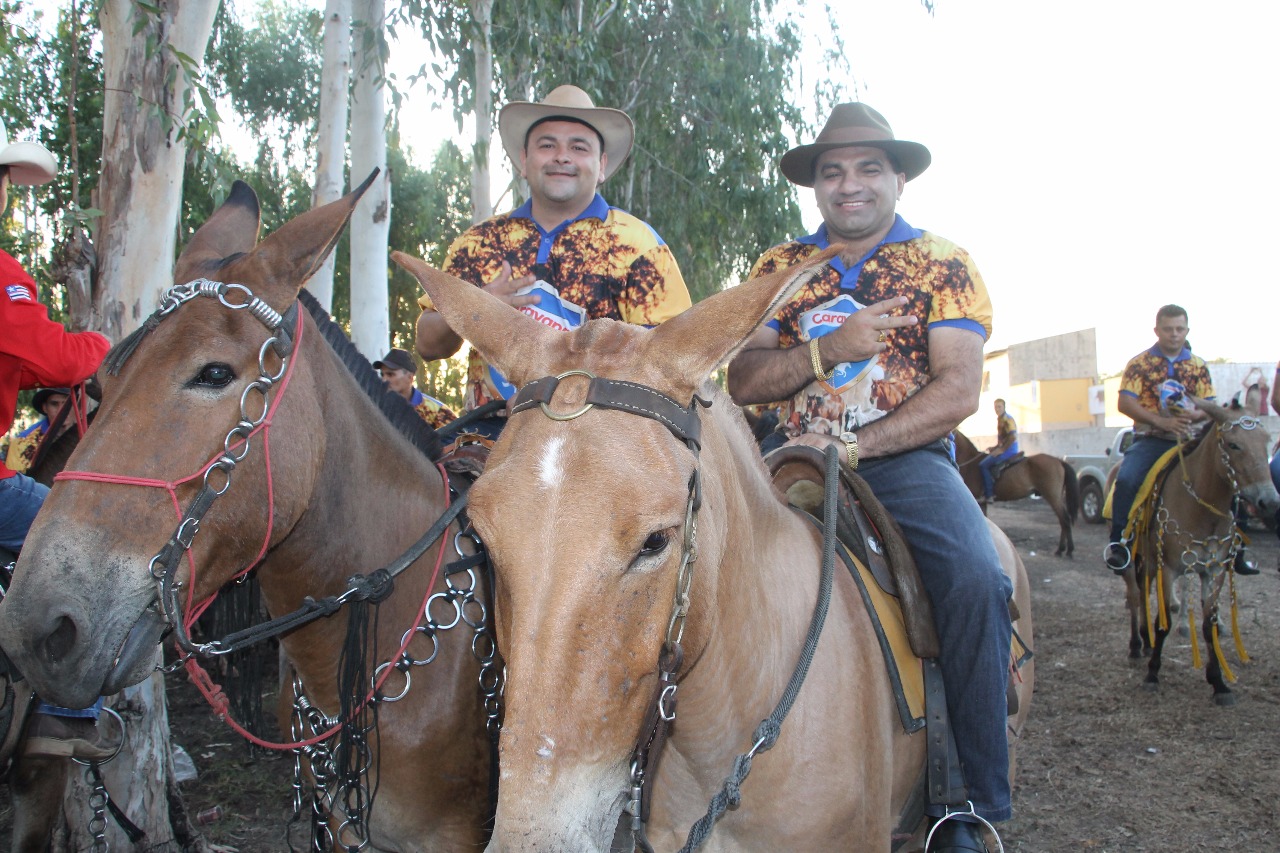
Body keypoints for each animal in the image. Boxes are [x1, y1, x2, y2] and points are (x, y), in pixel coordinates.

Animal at [952, 427, 1080, 555]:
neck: (971, 465)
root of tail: (1058, 461)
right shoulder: (981, 502)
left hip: (1052, 496)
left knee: (1065, 520)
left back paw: (1066, 549)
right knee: (1063, 521)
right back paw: (1063, 549)